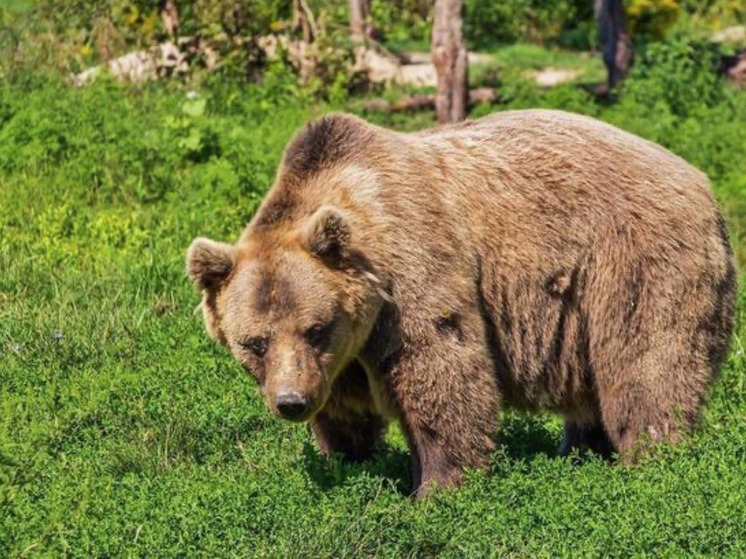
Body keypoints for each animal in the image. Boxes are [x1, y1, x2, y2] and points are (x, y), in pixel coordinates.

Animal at [185, 109, 732, 494]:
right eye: (254, 342)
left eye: (315, 328)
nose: (291, 402)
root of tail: (703, 183)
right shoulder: (341, 358)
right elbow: (344, 409)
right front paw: (347, 461)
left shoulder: (411, 273)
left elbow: (441, 370)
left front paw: (437, 486)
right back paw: (582, 452)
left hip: (634, 261)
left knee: (647, 364)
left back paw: (651, 458)